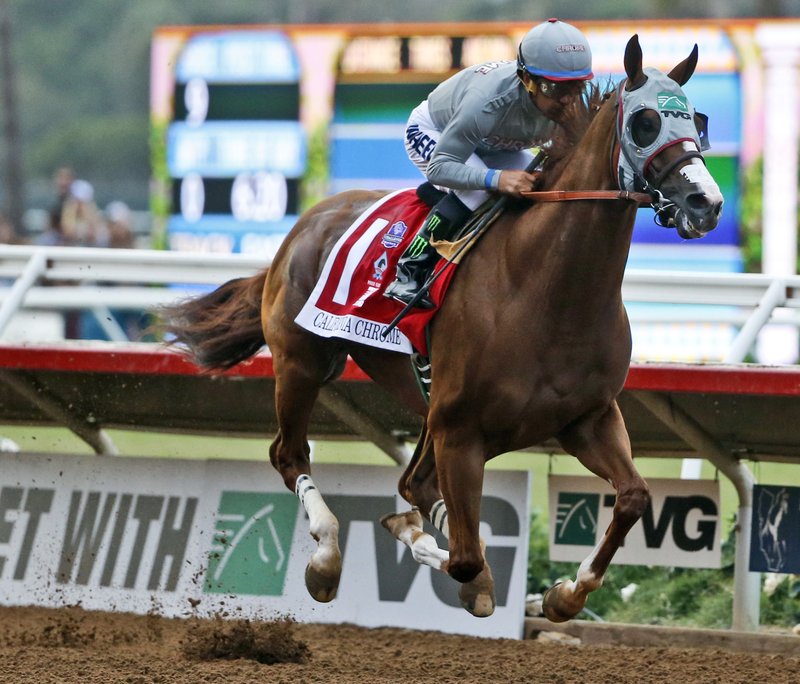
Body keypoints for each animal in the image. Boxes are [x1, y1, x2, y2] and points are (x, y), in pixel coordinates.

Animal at [162, 38, 724, 624]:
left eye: (697, 120)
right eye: (645, 122)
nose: (705, 203)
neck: (548, 291)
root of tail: (303, 225)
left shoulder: (585, 418)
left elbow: (633, 497)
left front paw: (564, 593)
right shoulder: (460, 429)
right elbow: (465, 559)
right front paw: (470, 571)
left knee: (412, 483)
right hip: (303, 363)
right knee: (291, 456)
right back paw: (326, 559)